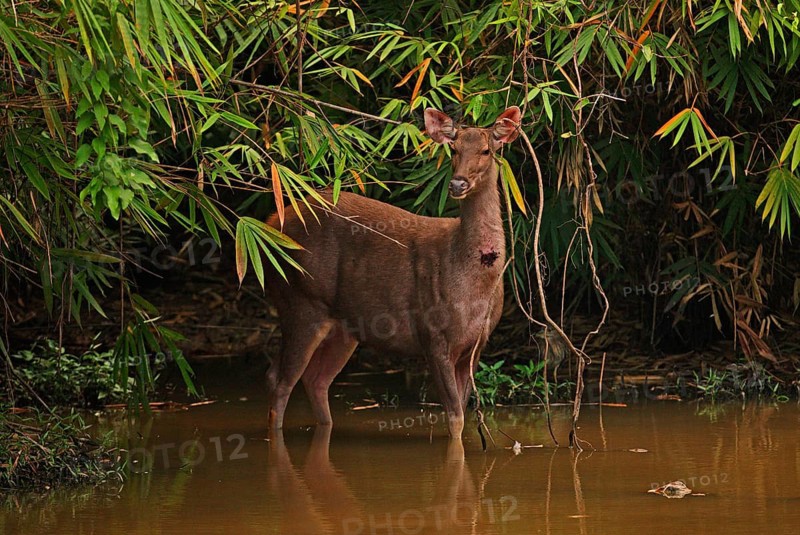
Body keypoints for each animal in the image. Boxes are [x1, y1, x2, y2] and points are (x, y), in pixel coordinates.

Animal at [264, 106, 521, 439]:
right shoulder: (432, 332)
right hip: (300, 300)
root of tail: (269, 223)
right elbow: (455, 419)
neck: (473, 284)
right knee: (281, 379)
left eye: (487, 150)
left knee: (315, 379)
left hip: (343, 325)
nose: (458, 184)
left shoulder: (476, 344)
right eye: (453, 149)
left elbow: (460, 414)